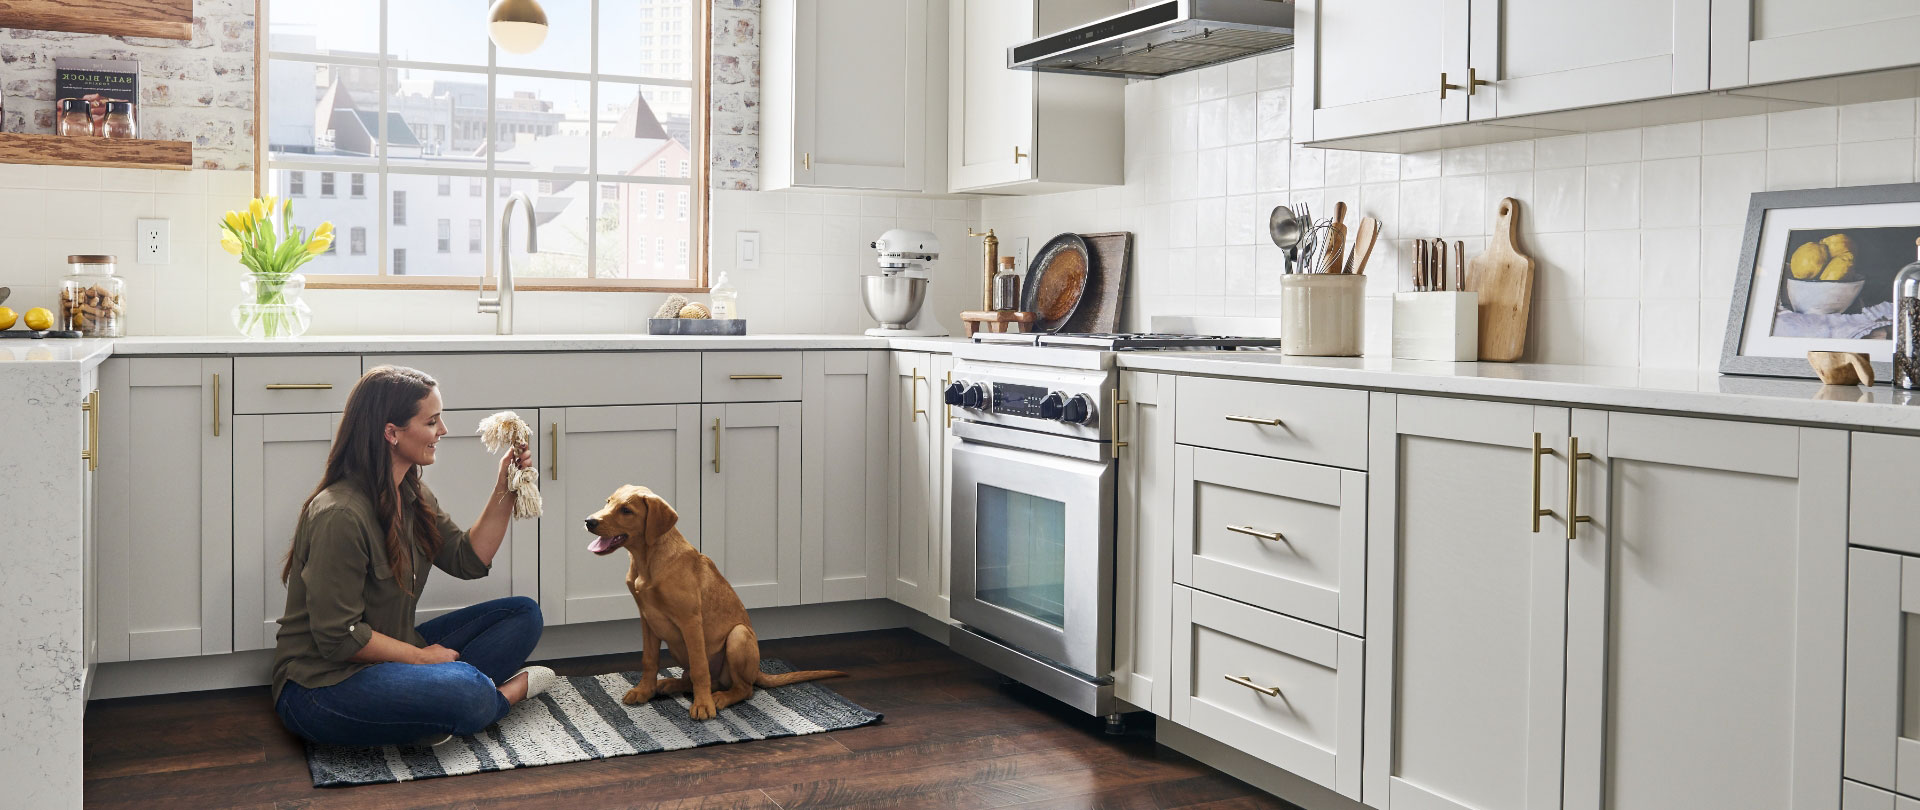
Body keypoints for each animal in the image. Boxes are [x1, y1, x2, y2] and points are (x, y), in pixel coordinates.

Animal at [579, 483, 844, 717]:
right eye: (608, 502)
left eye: (626, 510)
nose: (589, 521)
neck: (647, 561)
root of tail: (758, 670)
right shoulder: (647, 620)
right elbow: (649, 660)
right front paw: (644, 691)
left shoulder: (690, 621)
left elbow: (700, 669)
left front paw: (703, 706)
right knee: (699, 679)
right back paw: (670, 684)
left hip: (738, 635)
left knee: (743, 689)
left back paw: (719, 698)